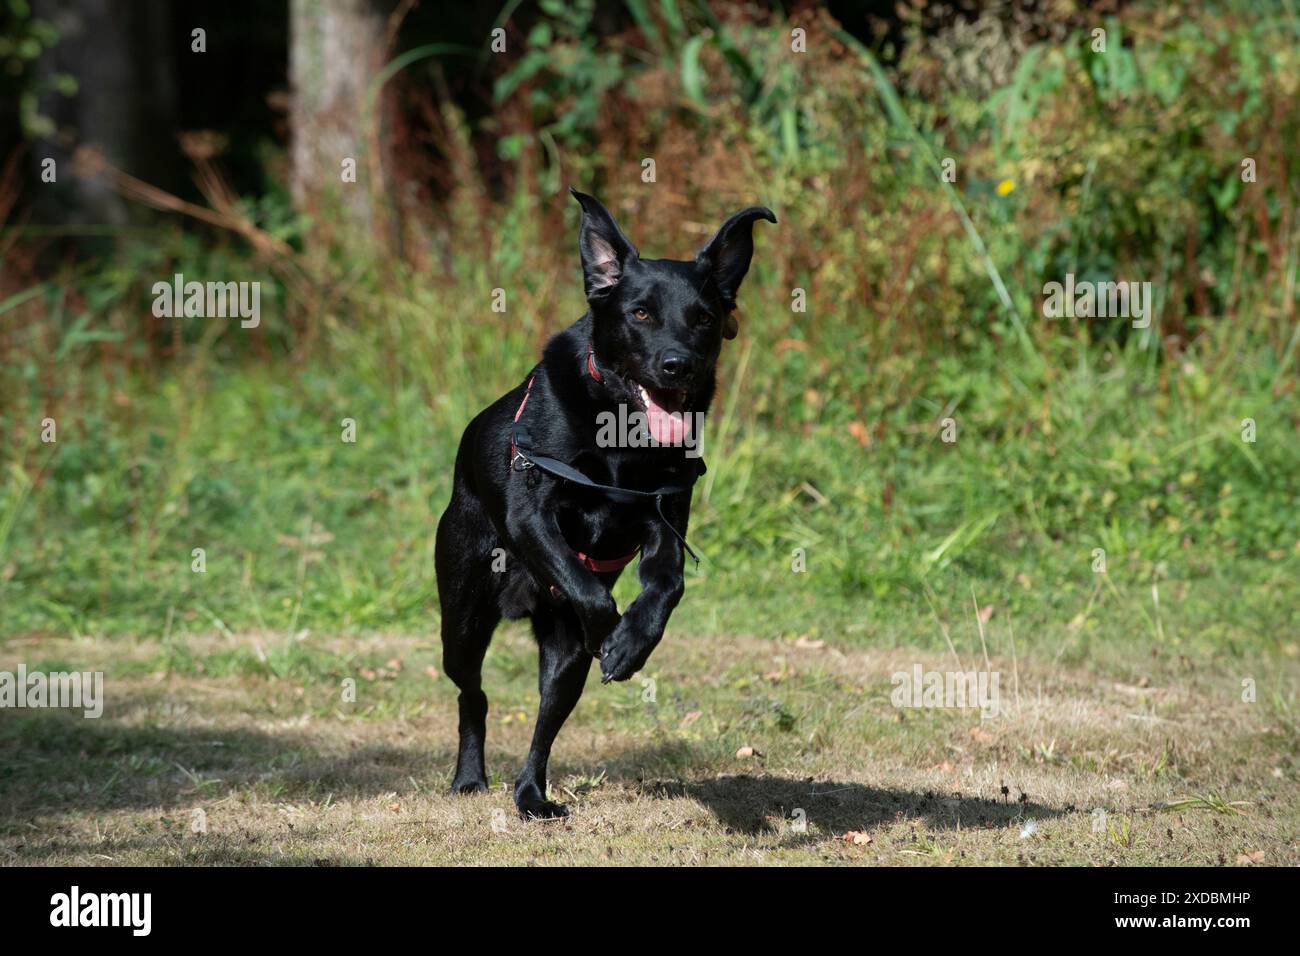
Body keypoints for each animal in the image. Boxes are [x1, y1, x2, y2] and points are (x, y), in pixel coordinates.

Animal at [436, 191, 774, 816]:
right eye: (640, 314)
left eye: (704, 319)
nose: (678, 365)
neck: (623, 437)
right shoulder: (532, 515)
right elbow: (587, 588)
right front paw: (613, 634)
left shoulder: (665, 520)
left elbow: (667, 586)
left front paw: (633, 642)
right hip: (463, 620)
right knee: (474, 694)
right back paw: (470, 778)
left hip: (560, 663)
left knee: (544, 726)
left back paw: (531, 796)